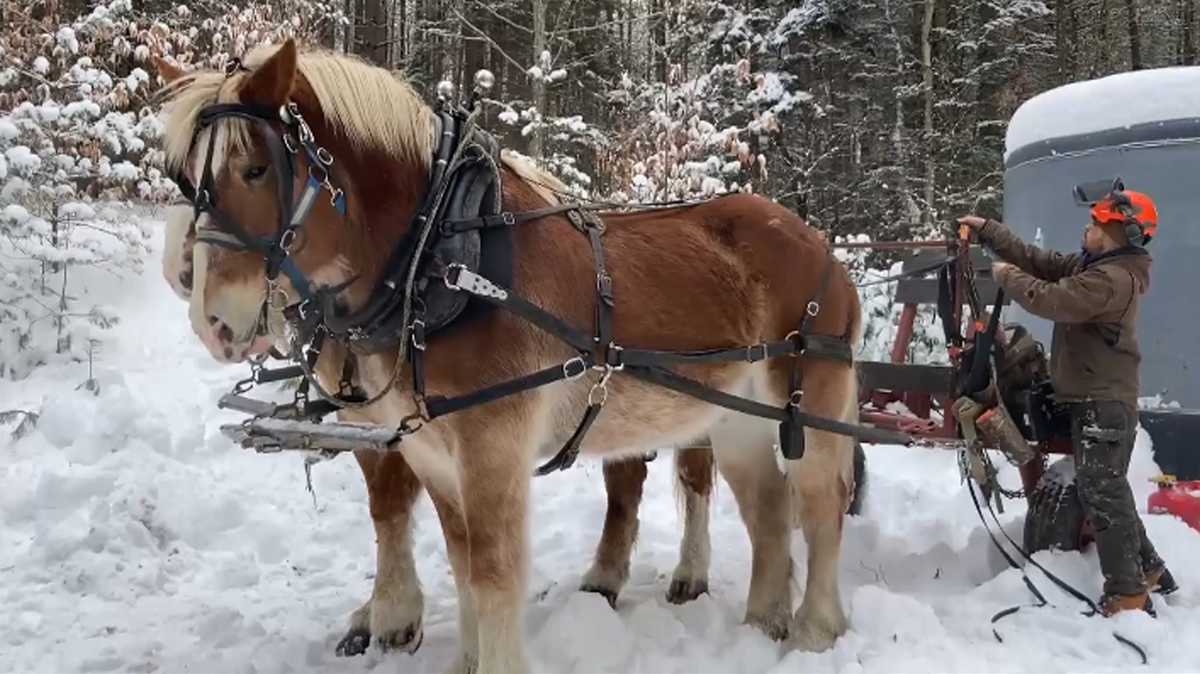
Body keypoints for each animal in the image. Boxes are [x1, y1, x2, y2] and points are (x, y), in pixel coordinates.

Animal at [155, 39, 863, 674]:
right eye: (186, 179)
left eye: (255, 169)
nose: (211, 318)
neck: (439, 256)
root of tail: (821, 247)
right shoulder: (431, 453)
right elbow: (461, 561)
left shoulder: (491, 448)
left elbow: (493, 572)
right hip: (735, 418)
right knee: (766, 508)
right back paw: (762, 625)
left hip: (807, 399)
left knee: (819, 504)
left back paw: (813, 630)